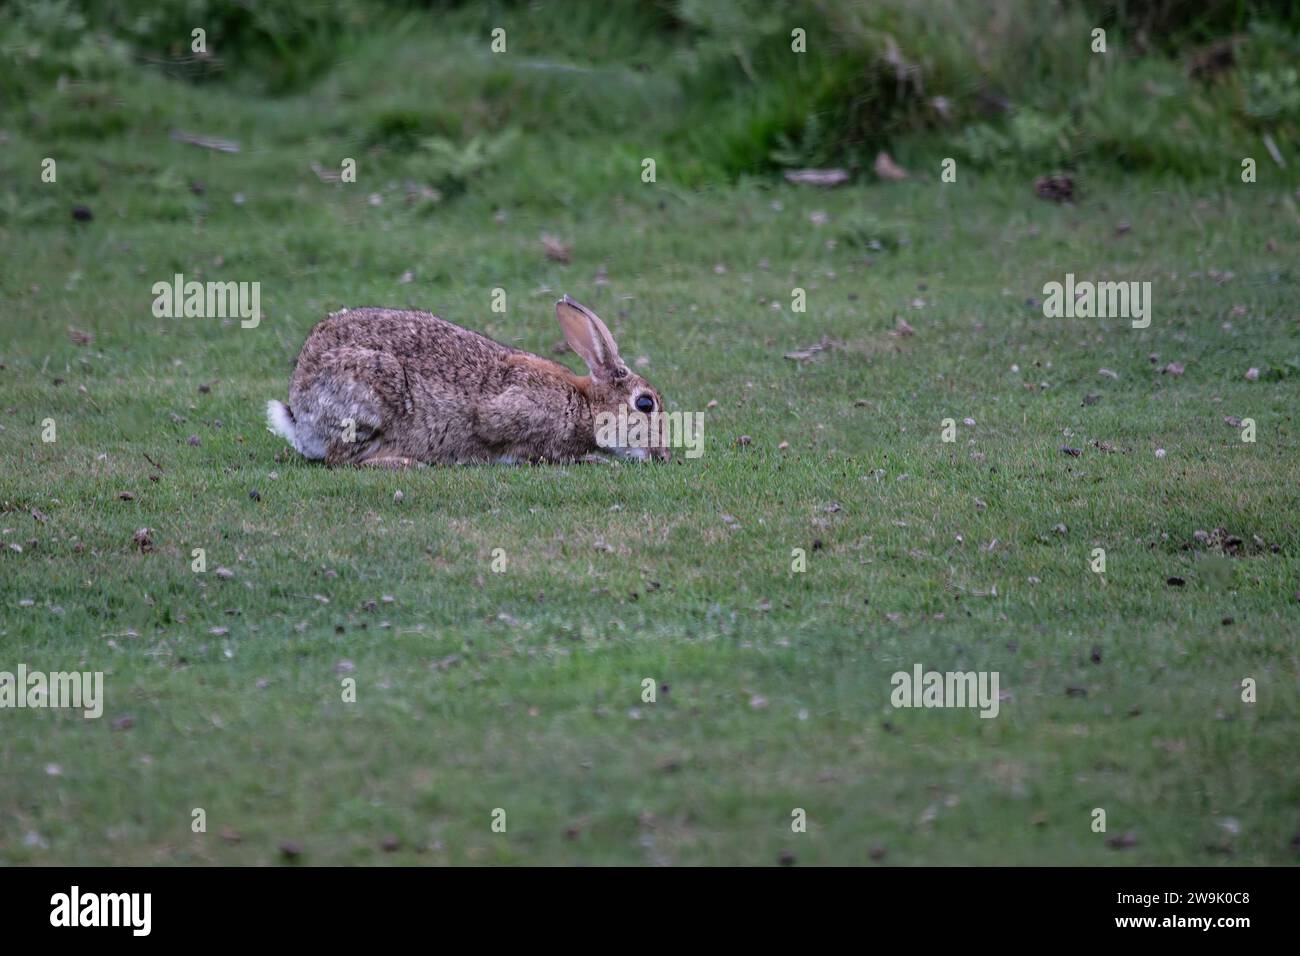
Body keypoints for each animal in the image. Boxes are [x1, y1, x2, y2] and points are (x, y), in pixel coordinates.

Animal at [263, 295, 670, 468]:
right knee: (341, 460)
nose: (664, 456)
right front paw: (597, 460)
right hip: (371, 393)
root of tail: (298, 412)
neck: (586, 404)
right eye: (645, 404)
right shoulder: (506, 415)